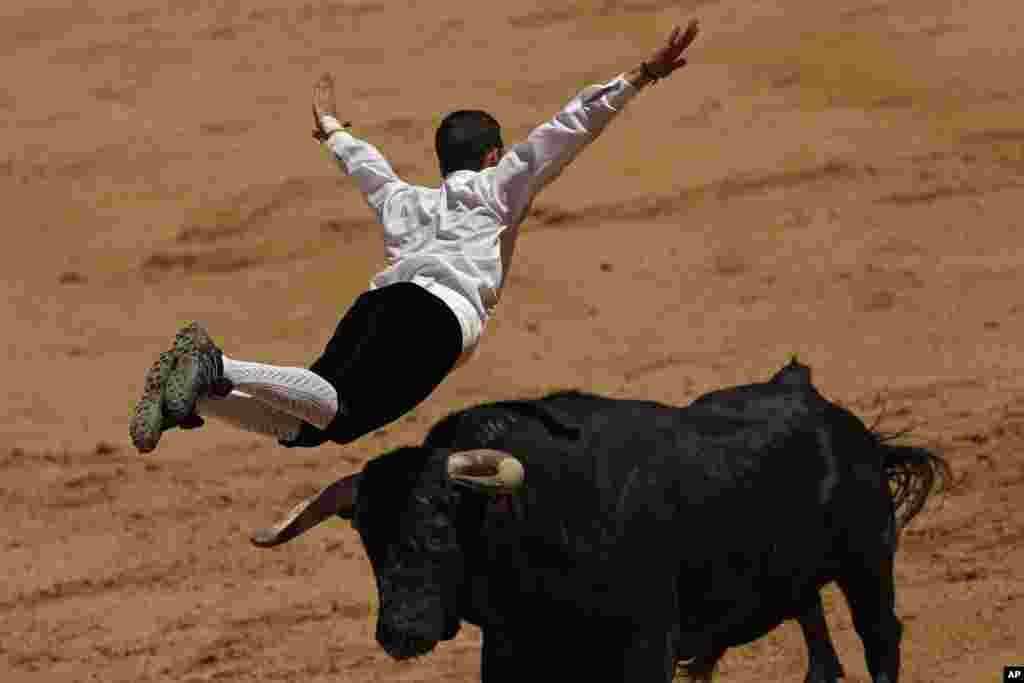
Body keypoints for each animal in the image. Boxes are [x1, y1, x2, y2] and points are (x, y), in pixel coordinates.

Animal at [249, 360, 950, 679]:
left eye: (442, 522)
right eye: (366, 540)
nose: (401, 631)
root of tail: (824, 406)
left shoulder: (646, 644)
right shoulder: (511, 652)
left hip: (868, 562)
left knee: (881, 639)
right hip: (796, 578)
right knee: (818, 647)